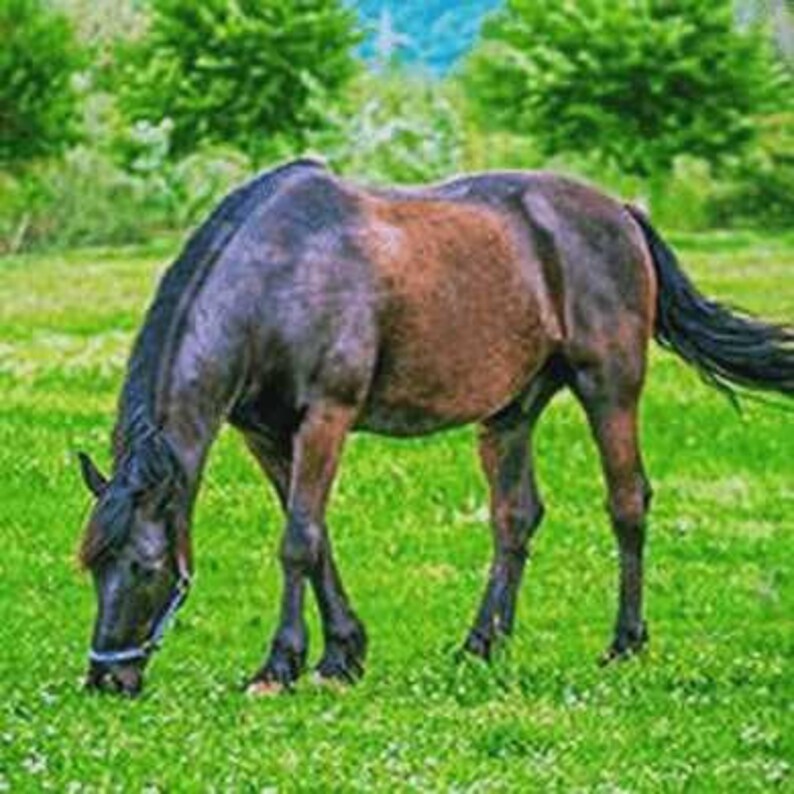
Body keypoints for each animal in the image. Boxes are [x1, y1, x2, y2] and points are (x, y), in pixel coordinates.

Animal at [77, 158, 793, 696]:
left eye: (144, 567)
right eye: (91, 566)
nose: (107, 681)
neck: (279, 278)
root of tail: (622, 212)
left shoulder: (326, 417)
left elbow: (299, 541)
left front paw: (282, 666)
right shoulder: (266, 436)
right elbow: (317, 536)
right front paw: (344, 654)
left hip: (609, 389)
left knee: (627, 504)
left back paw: (624, 643)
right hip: (511, 411)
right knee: (515, 517)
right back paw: (482, 645)